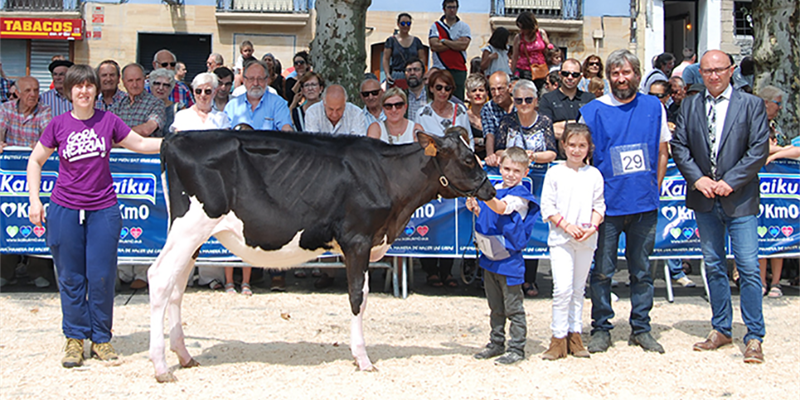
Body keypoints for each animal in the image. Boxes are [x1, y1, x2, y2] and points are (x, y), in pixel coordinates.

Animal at [145, 127, 494, 382]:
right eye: (467, 159)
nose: (490, 190)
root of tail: (175, 138)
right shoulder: (357, 240)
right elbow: (358, 296)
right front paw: (362, 358)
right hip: (191, 225)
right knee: (159, 277)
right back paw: (161, 367)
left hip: (193, 236)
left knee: (176, 286)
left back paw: (185, 356)